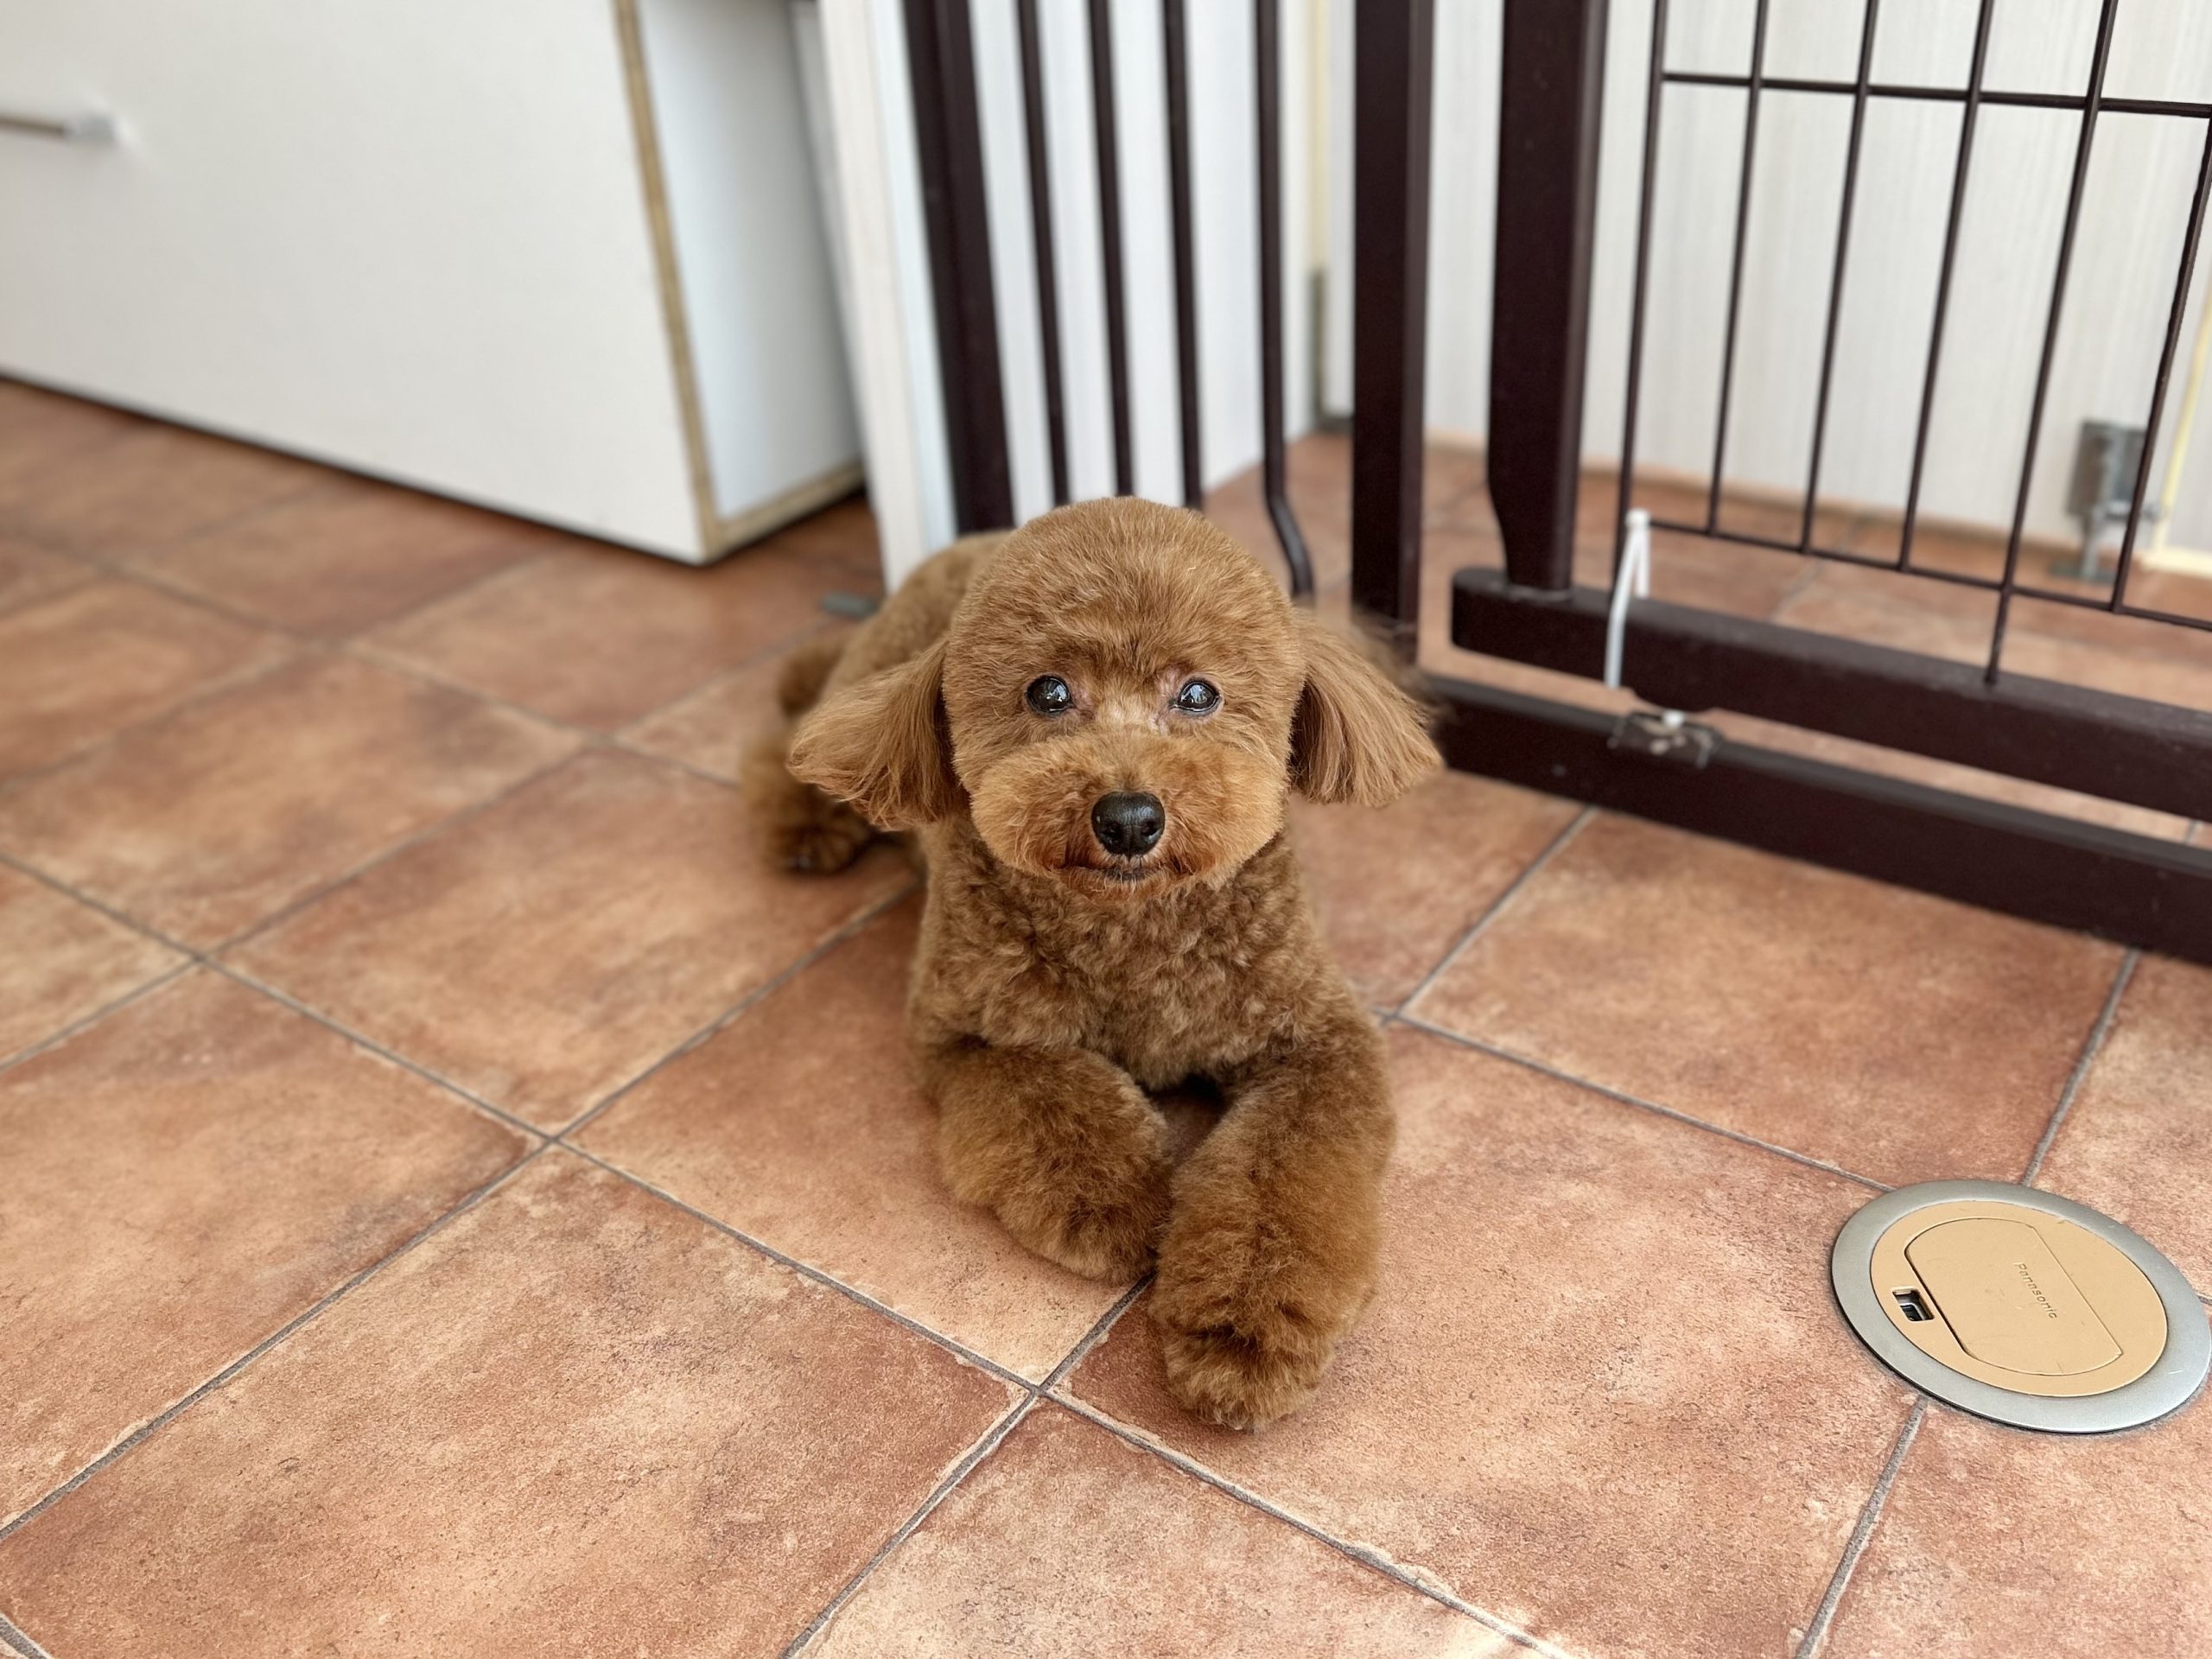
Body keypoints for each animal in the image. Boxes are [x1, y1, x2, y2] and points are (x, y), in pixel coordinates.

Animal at [748, 497, 1439, 1427]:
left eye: (1198, 694)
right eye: (1047, 692)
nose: (1129, 818)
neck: (1131, 931)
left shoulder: (1317, 1040)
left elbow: (1281, 1185)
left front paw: (1242, 1330)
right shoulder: (969, 1034)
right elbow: (1059, 1102)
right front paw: (1125, 1205)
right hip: (856, 714)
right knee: (805, 742)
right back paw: (803, 824)